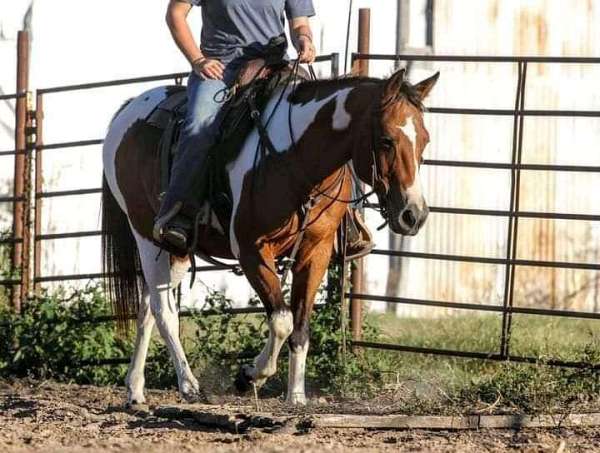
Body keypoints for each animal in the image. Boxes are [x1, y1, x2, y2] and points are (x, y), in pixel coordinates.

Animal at [102, 68, 440, 406]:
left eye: (425, 140)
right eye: (386, 141)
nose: (414, 215)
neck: (297, 158)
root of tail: (128, 109)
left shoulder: (315, 252)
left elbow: (300, 327)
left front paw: (296, 396)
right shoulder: (252, 250)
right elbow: (281, 320)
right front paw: (251, 375)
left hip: (177, 250)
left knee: (147, 306)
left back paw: (135, 389)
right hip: (146, 234)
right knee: (164, 309)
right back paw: (188, 385)